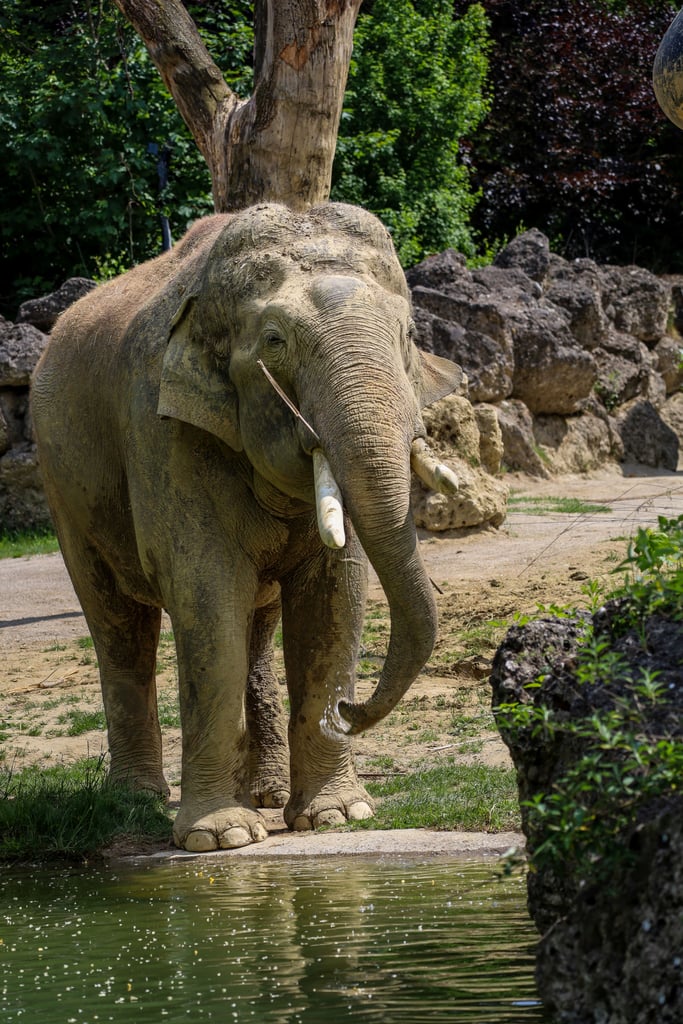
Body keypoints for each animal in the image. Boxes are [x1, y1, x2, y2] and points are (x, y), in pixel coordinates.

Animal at [31, 202, 462, 852]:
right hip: (63, 491)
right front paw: (222, 837)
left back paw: (266, 794)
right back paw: (137, 802)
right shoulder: (165, 434)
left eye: (409, 336)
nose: (348, 710)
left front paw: (338, 817)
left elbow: (335, 595)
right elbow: (207, 594)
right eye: (275, 341)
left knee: (256, 625)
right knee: (118, 626)